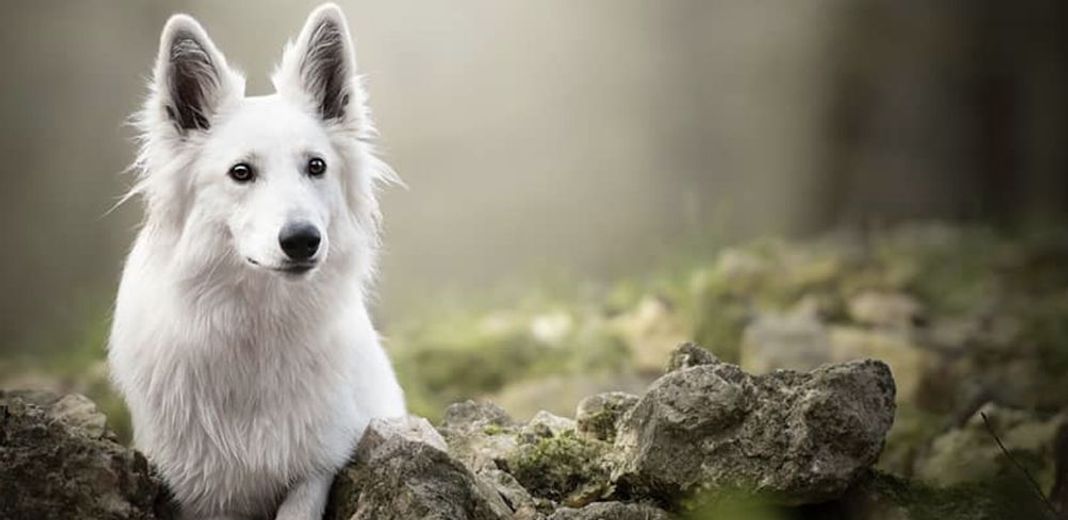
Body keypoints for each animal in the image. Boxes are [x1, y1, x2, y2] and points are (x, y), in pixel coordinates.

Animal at [108, 5, 405, 520]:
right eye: (241, 173)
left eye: (316, 166)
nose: (303, 240)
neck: (257, 326)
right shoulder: (201, 493)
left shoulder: (317, 467)